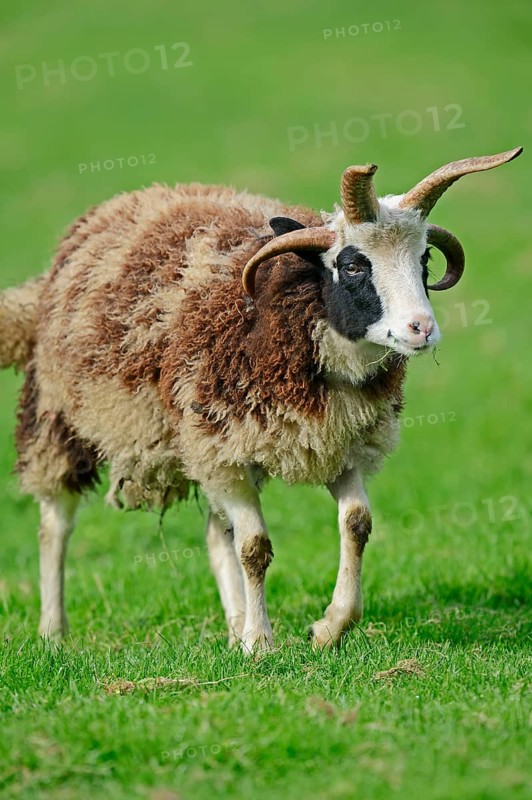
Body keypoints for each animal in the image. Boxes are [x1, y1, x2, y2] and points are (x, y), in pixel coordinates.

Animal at [0, 147, 522, 651]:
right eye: (353, 264)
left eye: (424, 261)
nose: (422, 329)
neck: (286, 312)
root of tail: (126, 201)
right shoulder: (229, 449)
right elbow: (255, 549)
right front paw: (260, 642)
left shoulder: (336, 443)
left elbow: (356, 524)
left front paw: (328, 628)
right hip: (62, 418)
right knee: (55, 523)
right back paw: (53, 632)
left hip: (201, 442)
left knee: (217, 533)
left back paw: (232, 626)